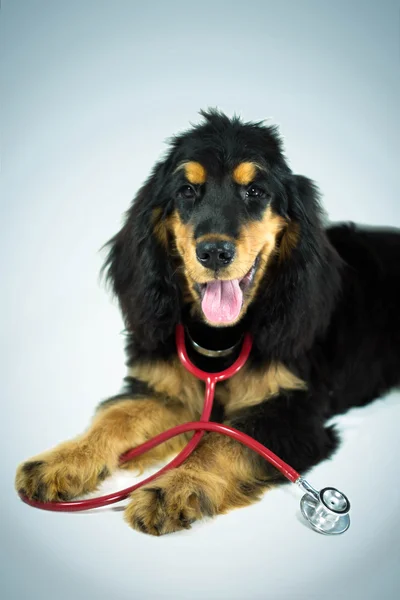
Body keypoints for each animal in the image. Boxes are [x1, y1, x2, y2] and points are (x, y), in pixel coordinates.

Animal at [15, 109, 400, 536]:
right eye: (186, 191)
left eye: (255, 192)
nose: (214, 252)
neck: (220, 338)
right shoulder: (164, 387)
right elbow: (116, 415)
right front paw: (63, 460)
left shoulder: (296, 413)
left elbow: (224, 442)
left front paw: (175, 487)